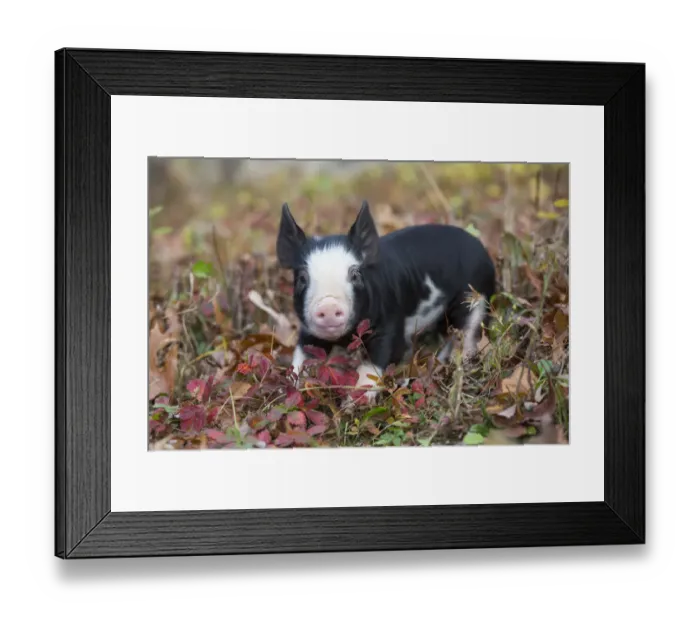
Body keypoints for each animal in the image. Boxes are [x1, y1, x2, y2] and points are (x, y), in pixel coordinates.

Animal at [275, 200, 496, 403]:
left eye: (355, 275)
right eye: (302, 278)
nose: (329, 305)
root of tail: (482, 249)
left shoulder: (389, 325)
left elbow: (374, 364)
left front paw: (353, 404)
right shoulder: (308, 331)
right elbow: (301, 358)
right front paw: (287, 393)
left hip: (476, 296)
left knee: (468, 333)